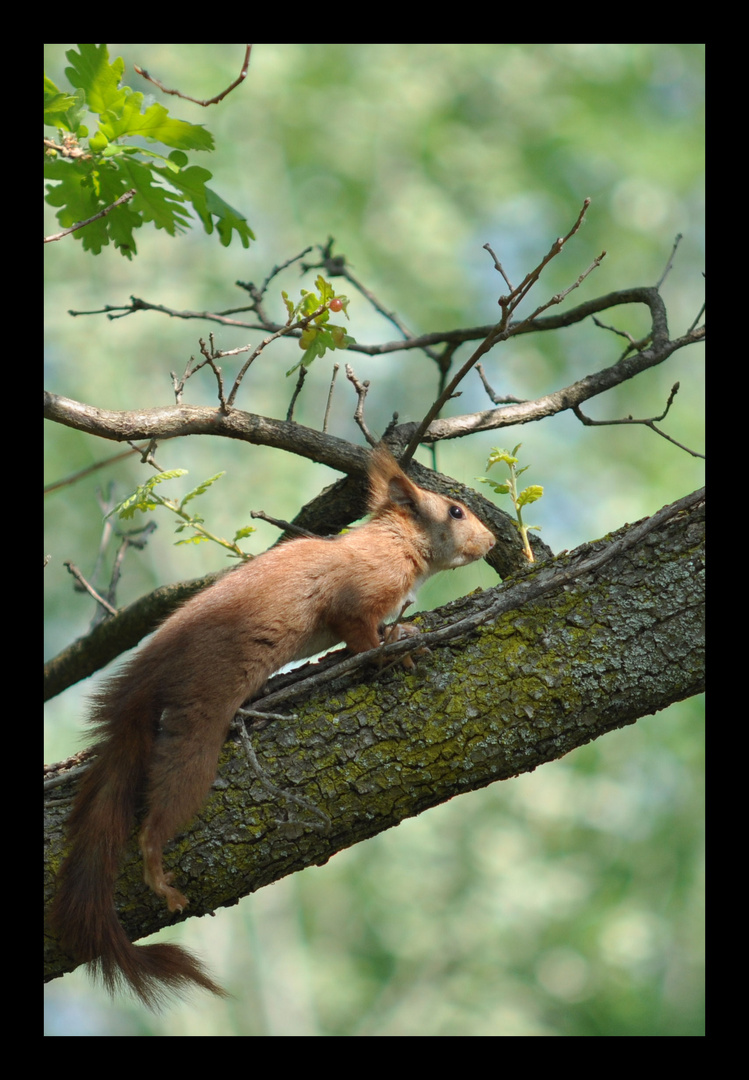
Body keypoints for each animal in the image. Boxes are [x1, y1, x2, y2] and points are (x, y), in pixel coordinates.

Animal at [52, 444, 498, 1002]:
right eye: (456, 512)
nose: (494, 540)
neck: (395, 542)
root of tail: (150, 667)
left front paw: (403, 634)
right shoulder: (358, 596)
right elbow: (360, 635)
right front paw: (394, 652)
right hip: (202, 705)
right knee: (169, 793)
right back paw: (156, 867)